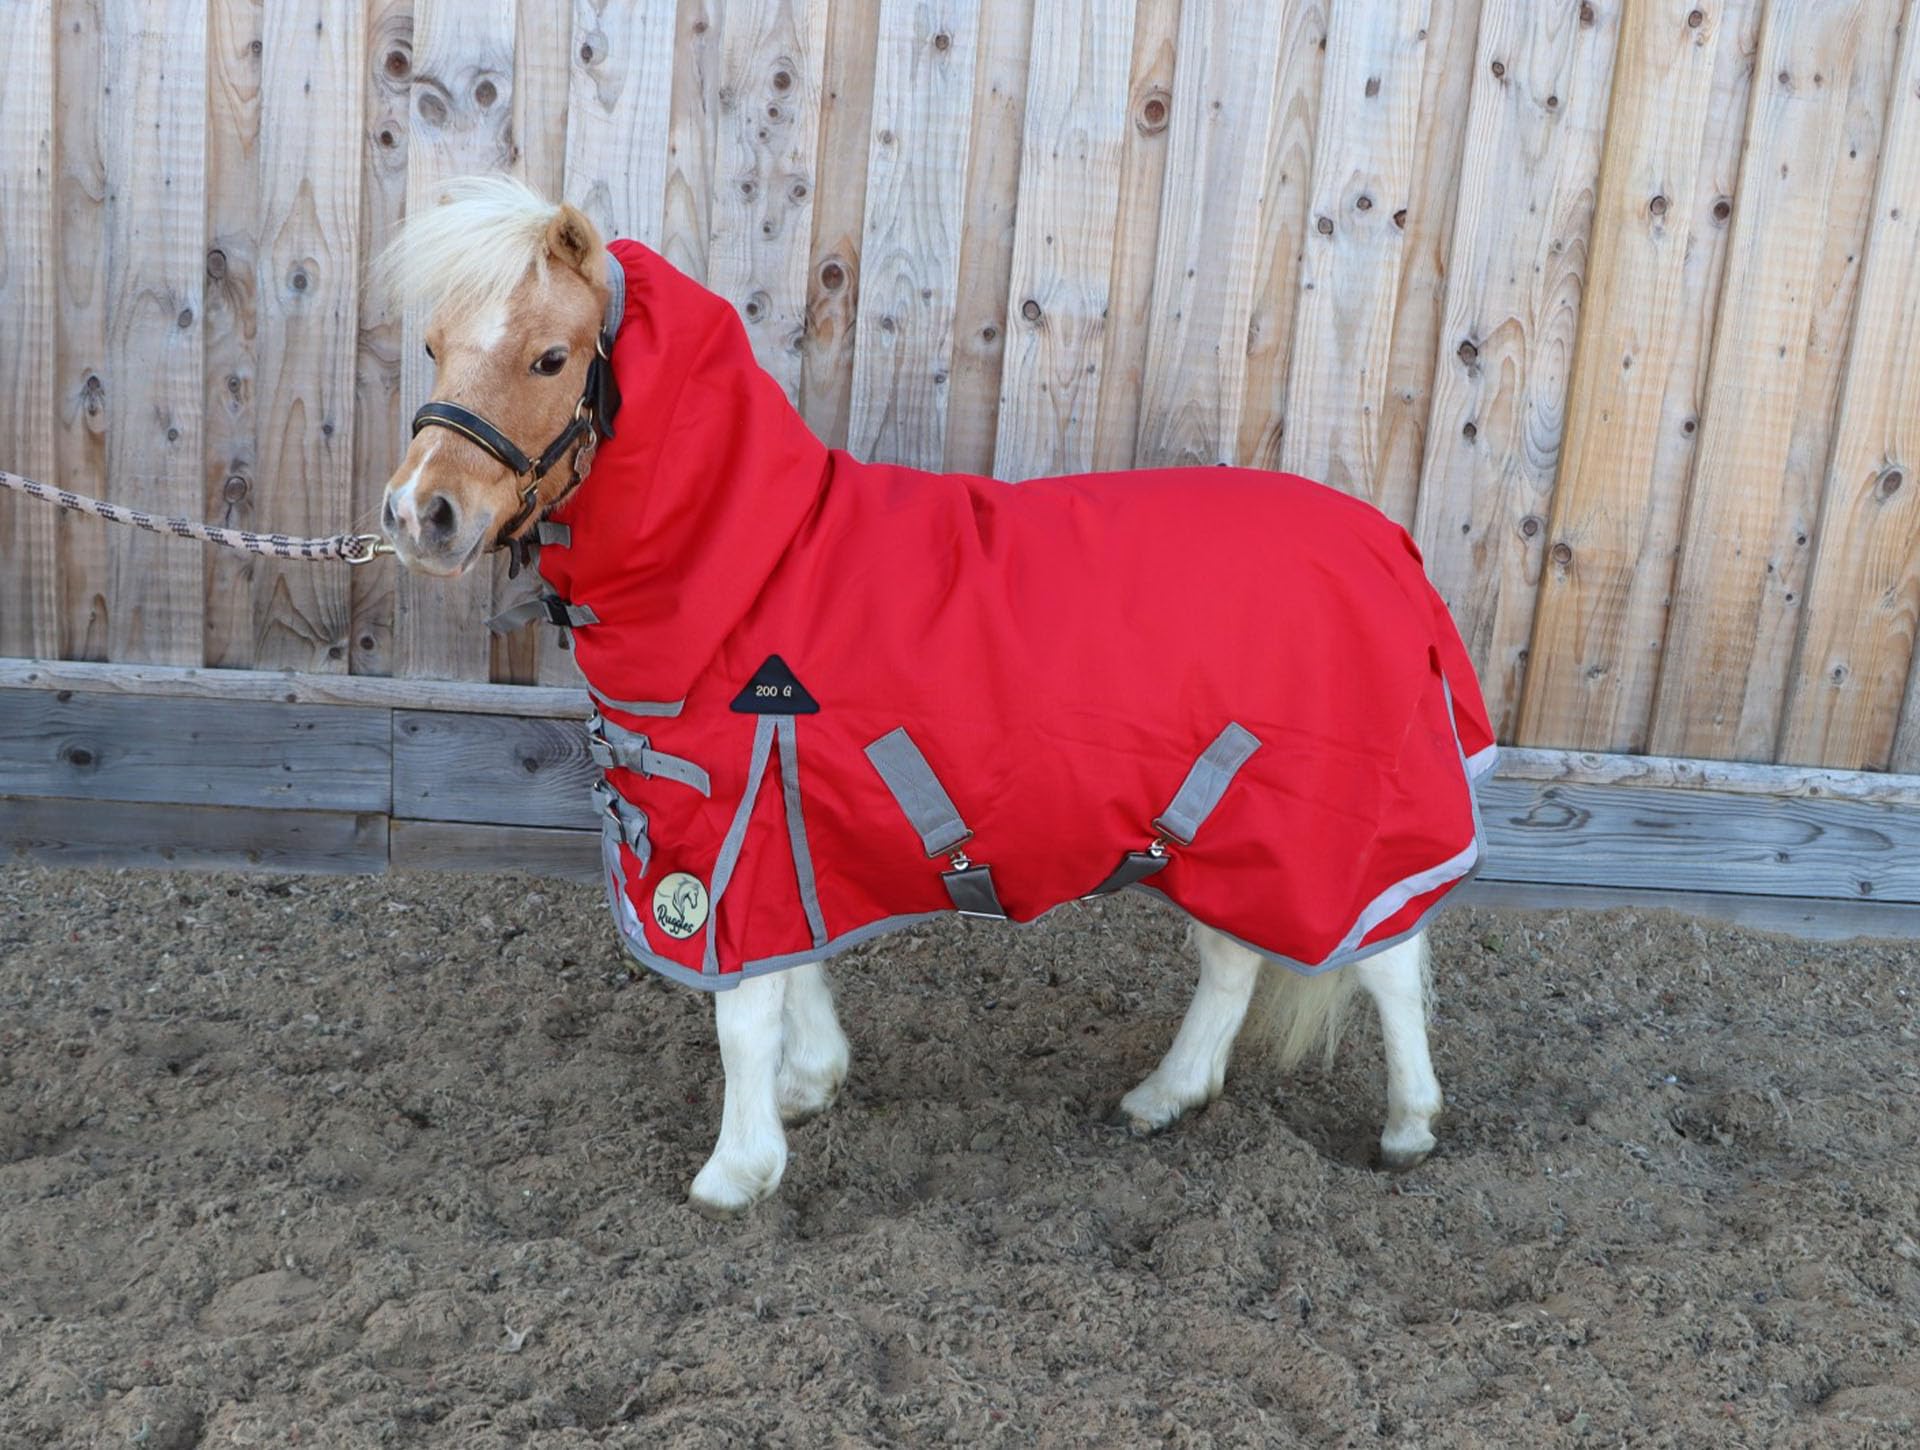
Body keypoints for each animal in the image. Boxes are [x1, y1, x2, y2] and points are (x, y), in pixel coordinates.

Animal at [377, 176, 1492, 1216]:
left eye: (551, 358)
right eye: (432, 346)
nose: (419, 514)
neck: (753, 571)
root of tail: (1387, 548)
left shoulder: (728, 829)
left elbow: (742, 1012)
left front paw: (736, 1171)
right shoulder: (787, 821)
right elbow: (796, 967)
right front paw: (809, 1086)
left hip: (1328, 832)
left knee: (1386, 959)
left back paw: (1407, 1126)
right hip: (1219, 826)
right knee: (1233, 958)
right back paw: (1165, 1096)